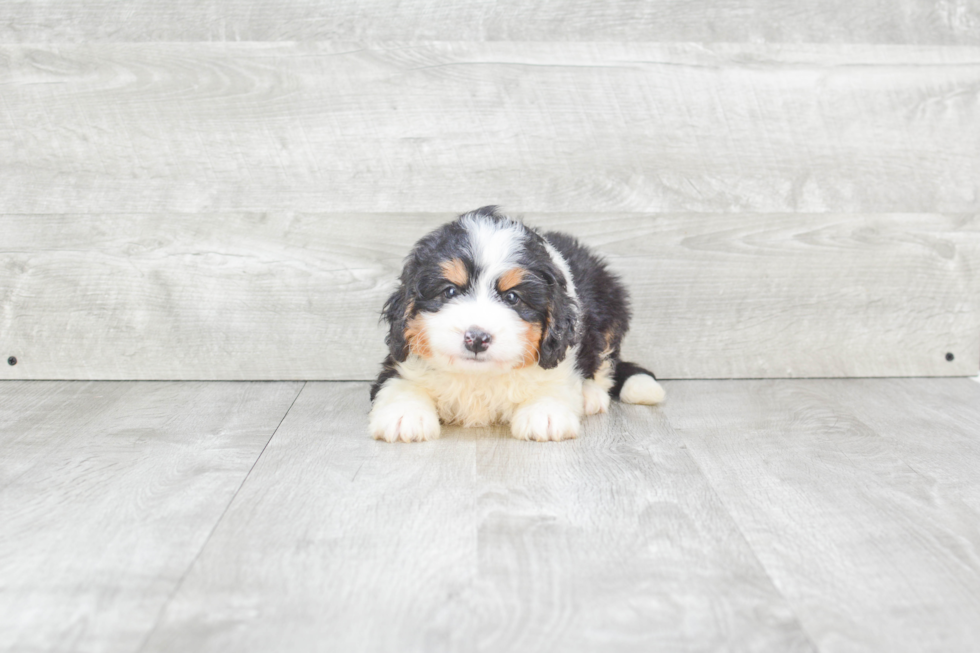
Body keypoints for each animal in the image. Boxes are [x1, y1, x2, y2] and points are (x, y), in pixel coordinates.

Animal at [368, 206, 668, 440]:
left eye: (512, 297)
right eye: (450, 291)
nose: (477, 338)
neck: (479, 378)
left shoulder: (559, 359)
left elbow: (555, 383)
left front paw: (545, 414)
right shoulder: (399, 359)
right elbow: (398, 383)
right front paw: (404, 415)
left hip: (610, 310)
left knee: (604, 362)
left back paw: (592, 395)